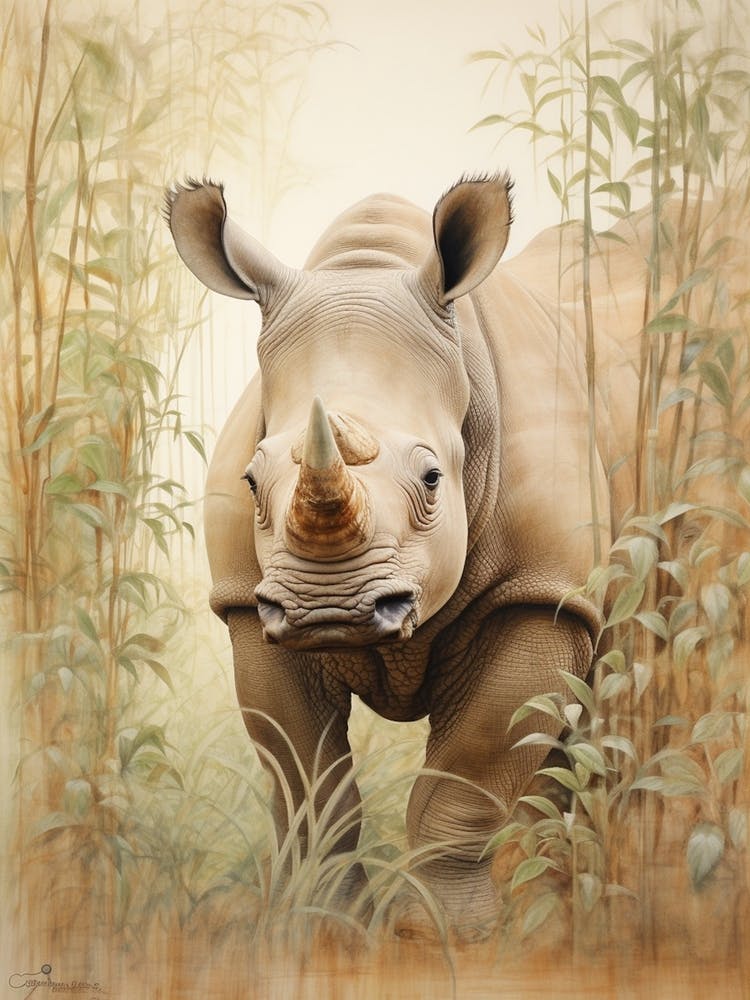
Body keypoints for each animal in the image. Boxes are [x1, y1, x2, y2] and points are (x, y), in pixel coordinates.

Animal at [166, 174, 637, 938]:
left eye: (432, 478)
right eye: (251, 480)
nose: (327, 607)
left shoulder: (543, 592)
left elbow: (468, 778)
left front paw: (440, 934)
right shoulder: (247, 602)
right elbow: (306, 780)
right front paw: (322, 927)